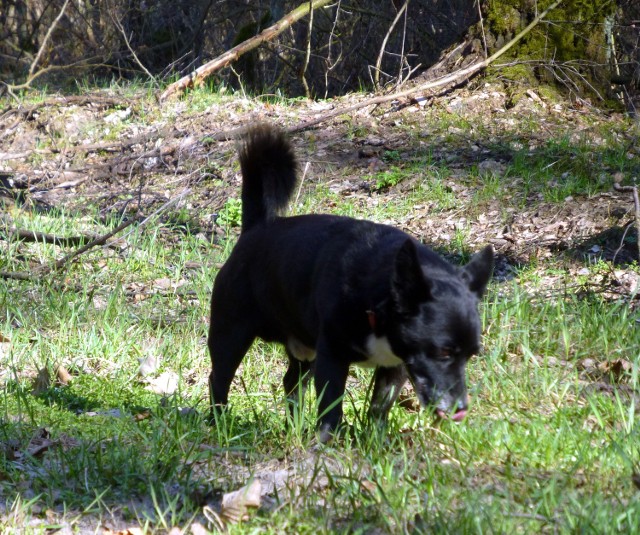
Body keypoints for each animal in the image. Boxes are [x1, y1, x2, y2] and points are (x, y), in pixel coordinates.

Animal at [210, 124, 496, 440]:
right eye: (443, 352)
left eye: (472, 355)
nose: (461, 407)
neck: (380, 298)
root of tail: (254, 229)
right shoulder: (332, 357)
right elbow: (331, 406)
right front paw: (326, 441)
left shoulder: (396, 366)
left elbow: (379, 408)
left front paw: (376, 441)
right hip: (231, 335)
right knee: (218, 380)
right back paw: (219, 424)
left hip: (304, 349)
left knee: (291, 382)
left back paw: (294, 428)